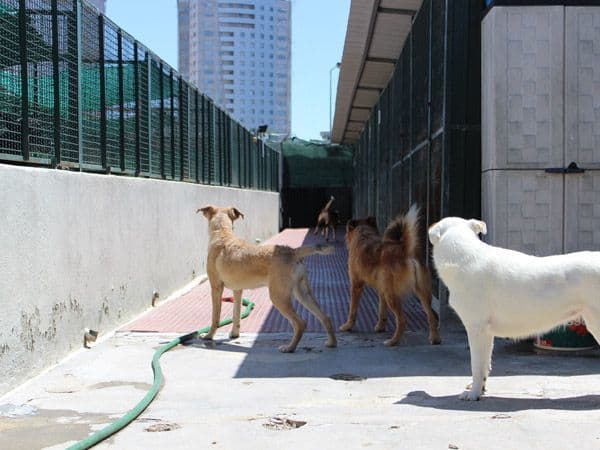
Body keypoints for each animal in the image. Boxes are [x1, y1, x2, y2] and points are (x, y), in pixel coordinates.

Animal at [197, 206, 338, 354]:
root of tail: (293, 251)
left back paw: (290, 348)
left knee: (300, 323)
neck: (223, 233)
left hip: (278, 297)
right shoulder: (238, 291)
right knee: (325, 317)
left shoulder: (216, 287)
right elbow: (236, 315)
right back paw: (332, 343)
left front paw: (209, 336)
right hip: (303, 293)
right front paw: (234, 334)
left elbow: (215, 317)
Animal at [342, 206, 440, 346]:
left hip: (392, 295)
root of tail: (405, 251)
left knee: (402, 320)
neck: (364, 235)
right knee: (432, 316)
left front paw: (348, 326)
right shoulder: (381, 289)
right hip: (423, 293)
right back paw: (435, 338)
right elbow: (381, 311)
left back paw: (393, 341)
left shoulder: (356, 285)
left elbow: (352, 310)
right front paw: (380, 327)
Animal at [426, 217, 600, 400]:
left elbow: (476, 365)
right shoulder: (486, 332)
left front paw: (473, 394)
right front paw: (481, 389)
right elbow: (485, 364)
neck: (464, 255)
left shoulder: (476, 328)